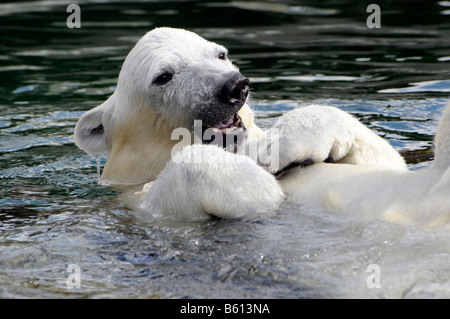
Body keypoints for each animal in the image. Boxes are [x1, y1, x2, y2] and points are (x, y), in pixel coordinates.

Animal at [74, 28, 450, 228]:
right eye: (163, 76)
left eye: (220, 54)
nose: (233, 87)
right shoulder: (136, 205)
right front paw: (258, 185)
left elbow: (388, 162)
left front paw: (274, 146)